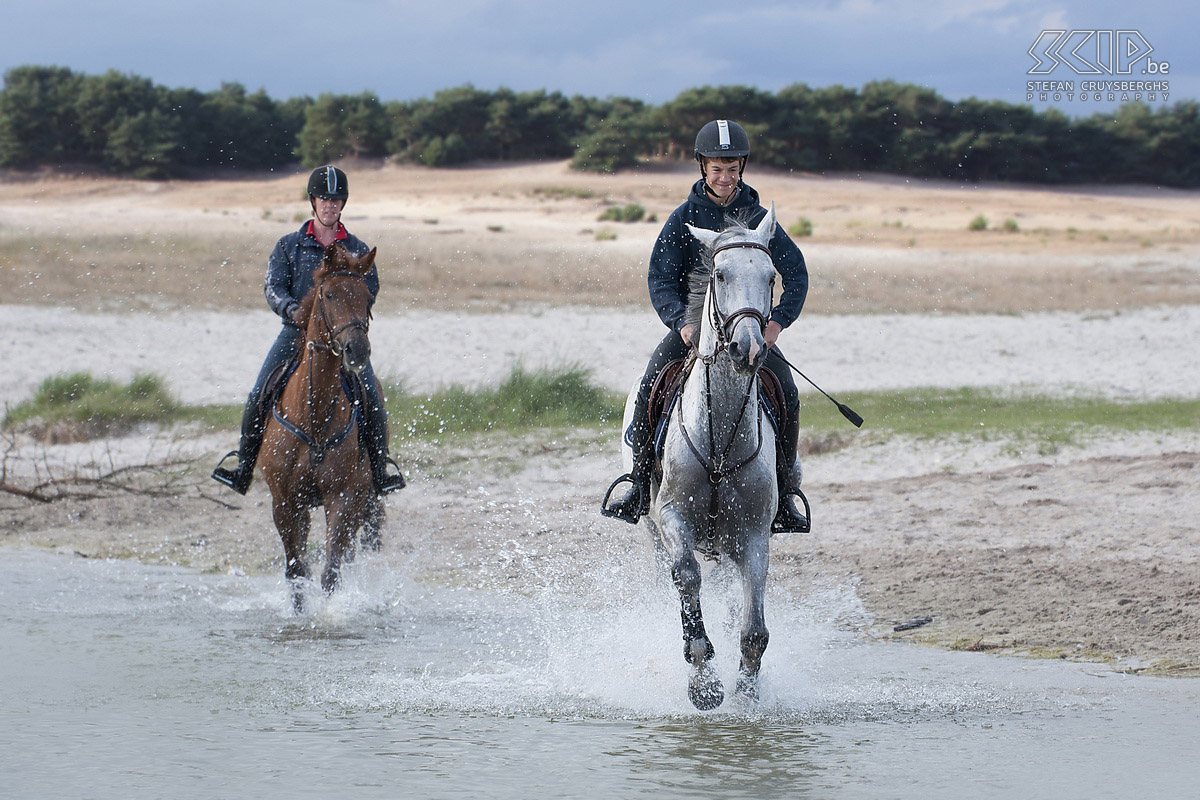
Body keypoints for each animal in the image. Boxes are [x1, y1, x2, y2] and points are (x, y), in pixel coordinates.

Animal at [261, 241, 384, 609]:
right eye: (328, 294)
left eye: (367, 296)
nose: (357, 350)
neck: (314, 416)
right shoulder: (285, 502)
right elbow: (296, 571)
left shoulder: (341, 498)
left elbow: (331, 572)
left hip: (361, 499)